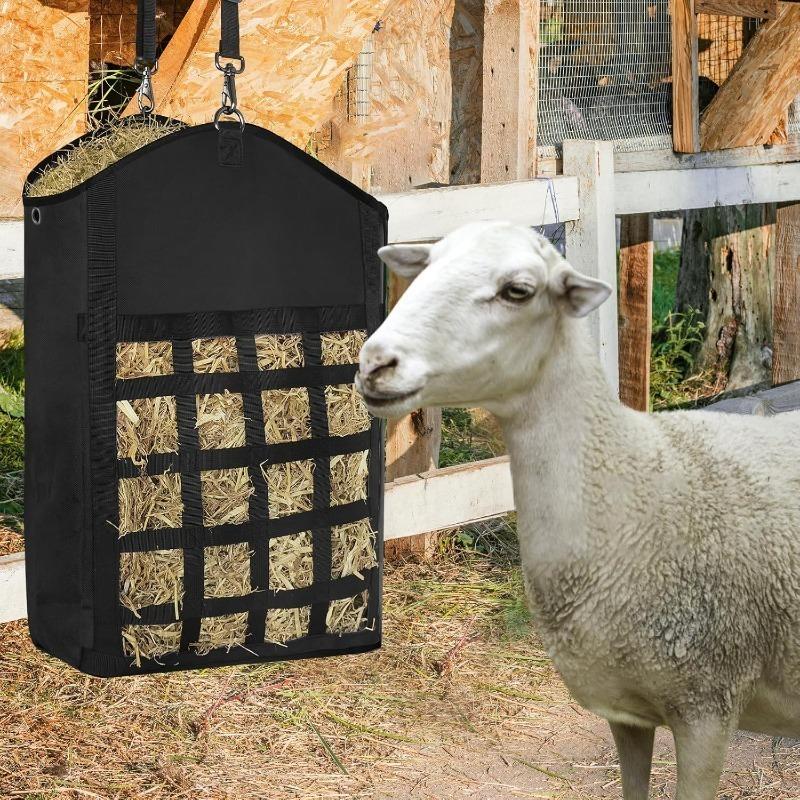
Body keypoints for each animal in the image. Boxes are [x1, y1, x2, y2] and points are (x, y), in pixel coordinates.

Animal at [357, 220, 800, 800]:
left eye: (518, 290)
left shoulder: (709, 702)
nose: (374, 364)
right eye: (426, 266)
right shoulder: (625, 710)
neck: (628, 487)